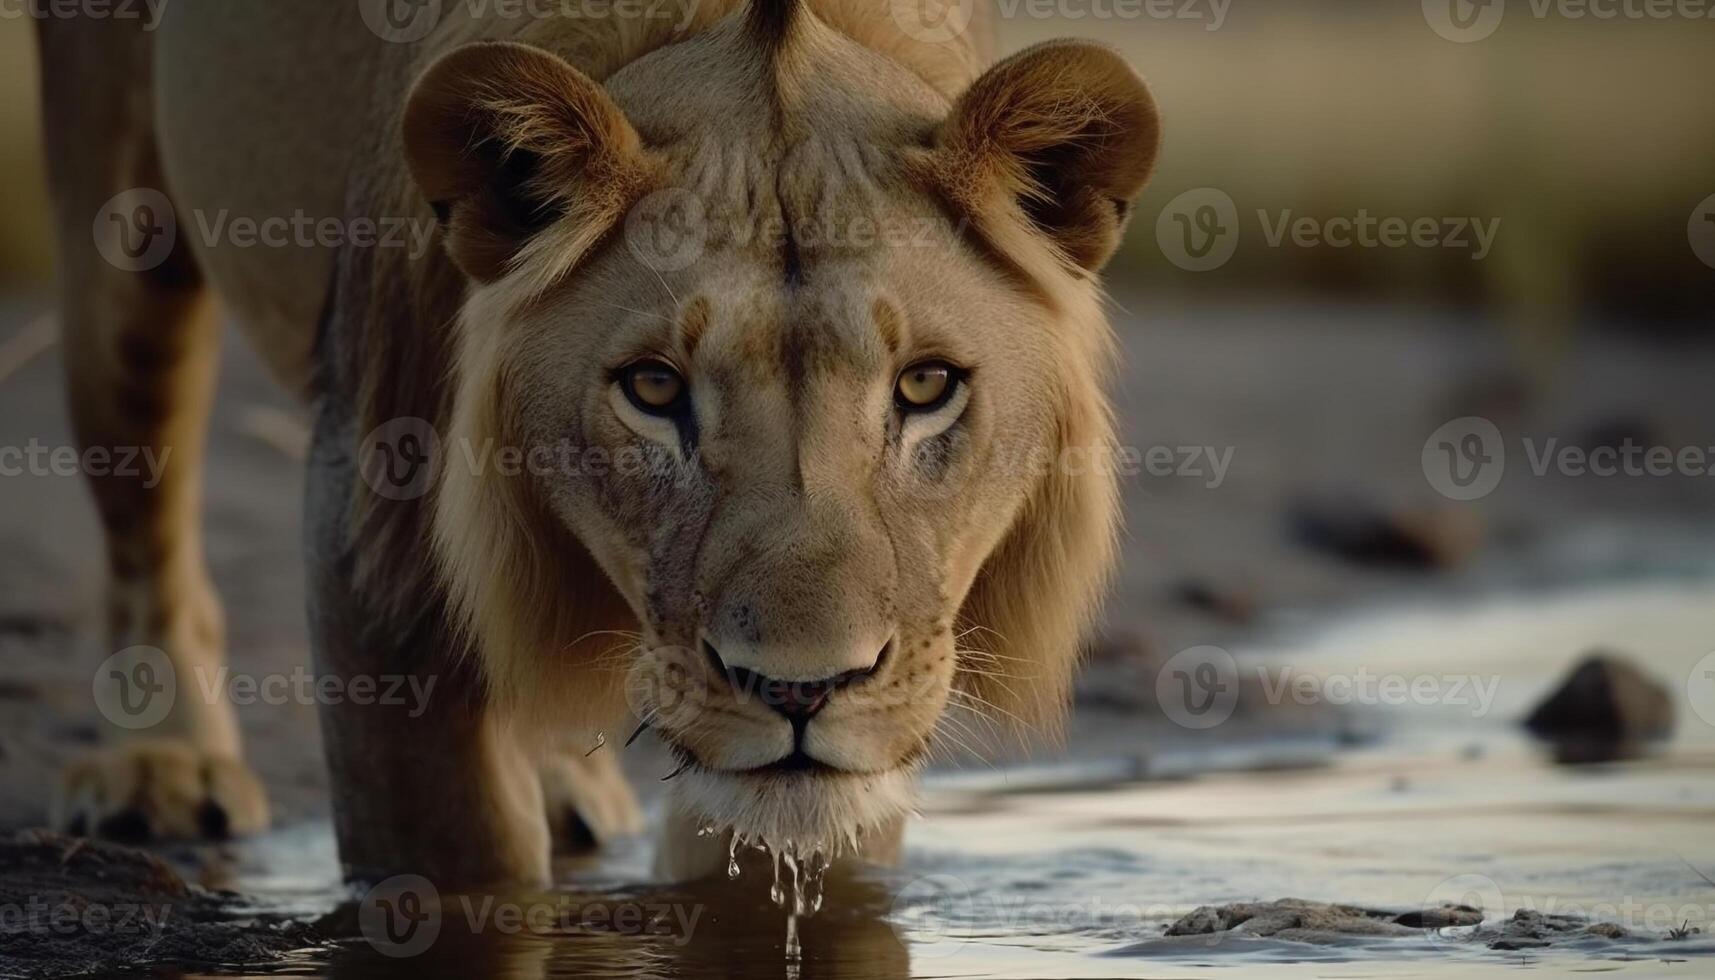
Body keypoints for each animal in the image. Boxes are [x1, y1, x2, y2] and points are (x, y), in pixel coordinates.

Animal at [36, 0, 1166, 885]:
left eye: (925, 386)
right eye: (653, 388)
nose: (801, 689)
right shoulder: (375, 531)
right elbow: (460, 875)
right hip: (122, 241)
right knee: (145, 528)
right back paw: (161, 766)